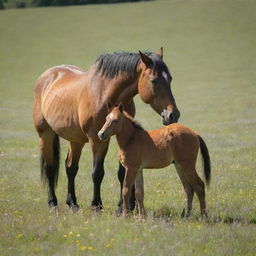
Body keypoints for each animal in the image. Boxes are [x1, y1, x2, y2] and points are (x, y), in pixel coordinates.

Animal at [32, 48, 180, 212]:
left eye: (170, 79)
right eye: (154, 81)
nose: (172, 114)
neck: (105, 94)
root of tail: (48, 75)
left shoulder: (122, 136)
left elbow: (123, 173)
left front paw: (124, 206)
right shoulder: (97, 139)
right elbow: (97, 172)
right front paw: (96, 205)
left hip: (75, 139)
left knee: (71, 168)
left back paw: (73, 203)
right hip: (46, 135)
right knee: (50, 168)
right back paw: (53, 203)